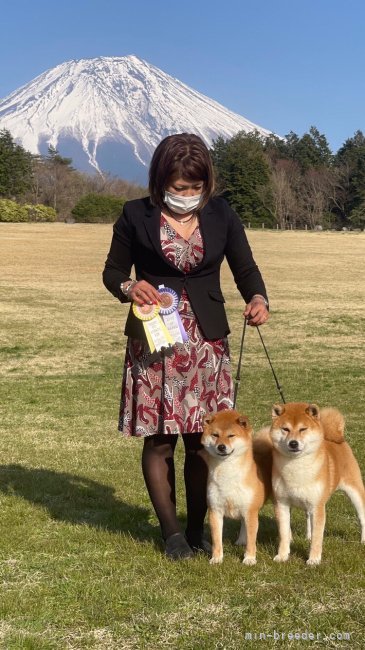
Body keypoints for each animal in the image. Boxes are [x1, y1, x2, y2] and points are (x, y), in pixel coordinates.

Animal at [200, 410, 272, 560]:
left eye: (231, 435)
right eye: (215, 435)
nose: (221, 446)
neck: (227, 473)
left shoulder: (251, 511)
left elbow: (252, 540)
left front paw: (249, 558)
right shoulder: (215, 510)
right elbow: (217, 540)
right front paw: (216, 558)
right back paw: (241, 540)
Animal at [268, 400, 364, 560]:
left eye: (303, 429)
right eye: (285, 429)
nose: (293, 443)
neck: (297, 468)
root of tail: (338, 437)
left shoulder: (318, 505)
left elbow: (318, 537)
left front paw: (313, 559)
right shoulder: (281, 503)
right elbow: (284, 534)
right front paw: (282, 556)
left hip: (355, 492)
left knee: (362, 517)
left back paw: (363, 541)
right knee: (308, 518)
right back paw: (308, 536)